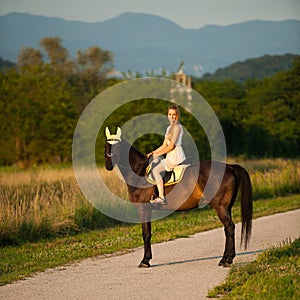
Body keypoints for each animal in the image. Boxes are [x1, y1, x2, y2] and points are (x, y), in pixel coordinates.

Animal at [104, 129, 252, 268]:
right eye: (106, 145)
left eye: (117, 146)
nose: (108, 164)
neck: (139, 173)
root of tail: (230, 167)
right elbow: (148, 233)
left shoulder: (143, 208)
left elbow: (146, 234)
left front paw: (145, 261)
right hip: (227, 207)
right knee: (228, 229)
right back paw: (227, 258)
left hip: (220, 207)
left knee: (229, 227)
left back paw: (226, 260)